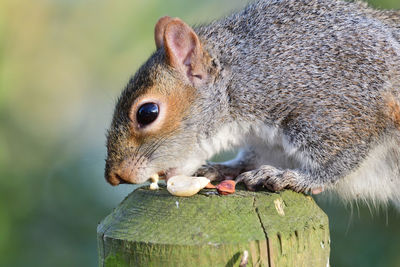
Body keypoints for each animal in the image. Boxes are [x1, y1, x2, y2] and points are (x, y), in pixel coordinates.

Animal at [104, 0, 400, 207]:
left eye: (147, 113)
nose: (114, 177)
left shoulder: (343, 109)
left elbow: (339, 161)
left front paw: (292, 178)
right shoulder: (268, 143)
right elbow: (252, 159)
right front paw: (223, 167)